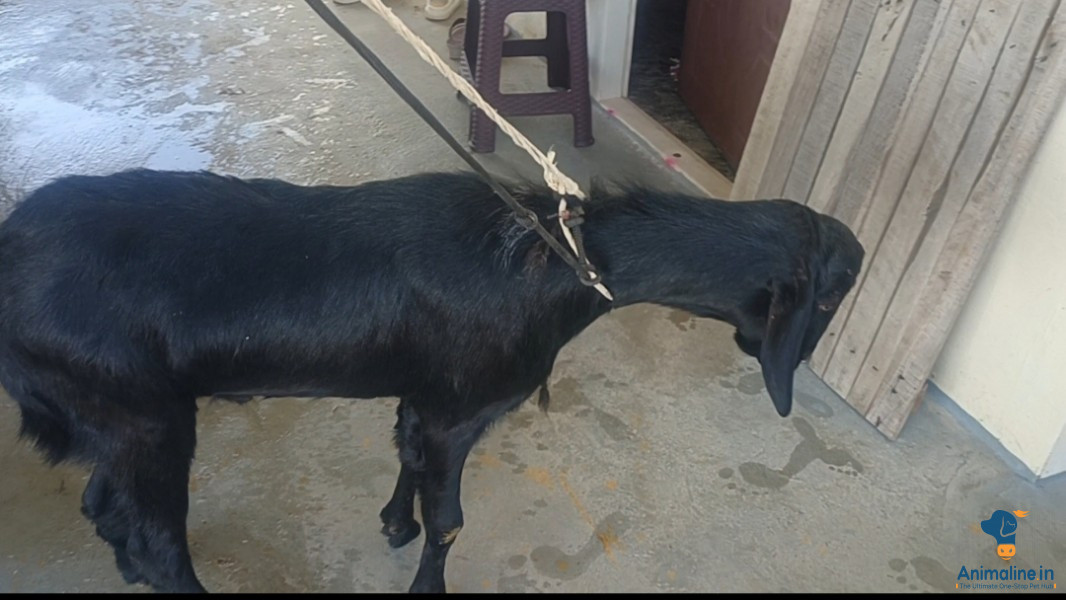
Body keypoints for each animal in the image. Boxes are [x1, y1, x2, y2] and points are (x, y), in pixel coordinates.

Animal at [0, 169, 863, 593]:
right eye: (831, 296)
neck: (563, 262)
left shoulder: (428, 394)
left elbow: (409, 459)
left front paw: (393, 522)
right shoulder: (464, 408)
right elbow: (449, 517)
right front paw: (425, 579)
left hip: (118, 418)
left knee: (104, 506)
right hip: (144, 418)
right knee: (158, 540)